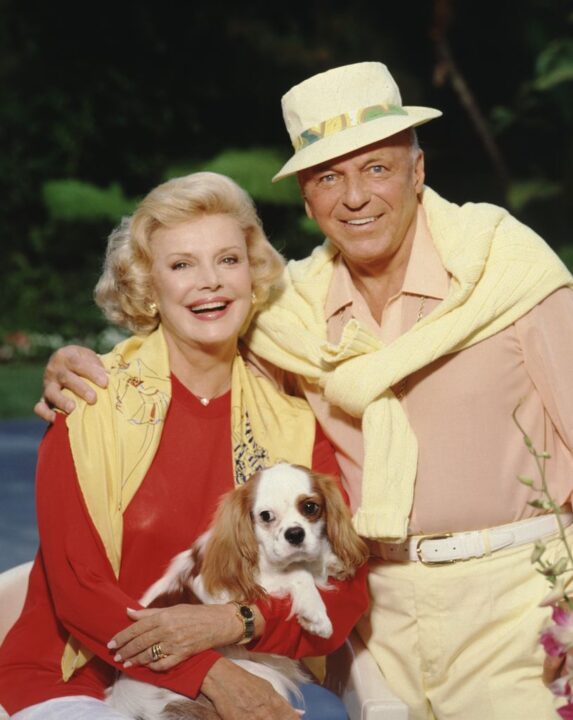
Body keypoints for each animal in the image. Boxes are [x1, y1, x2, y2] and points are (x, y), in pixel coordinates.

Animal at [106, 464, 366, 716]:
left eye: (310, 507)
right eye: (266, 516)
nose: (295, 534)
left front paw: (332, 561)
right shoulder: (225, 589)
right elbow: (297, 573)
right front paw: (315, 614)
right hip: (261, 675)